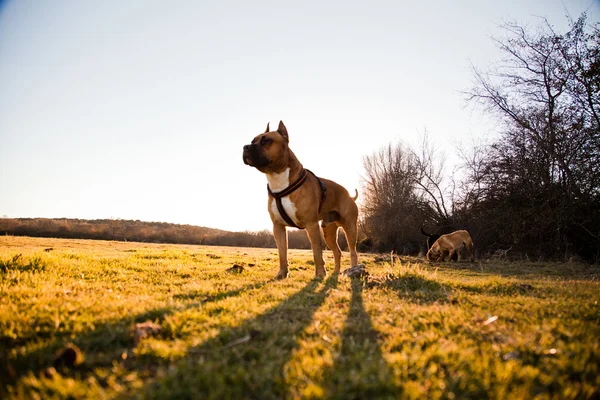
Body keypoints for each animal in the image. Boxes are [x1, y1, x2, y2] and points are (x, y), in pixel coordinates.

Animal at [243, 120, 358, 280]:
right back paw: (335, 273)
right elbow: (282, 253)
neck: (278, 180)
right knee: (338, 252)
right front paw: (282, 274)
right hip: (328, 231)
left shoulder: (311, 225)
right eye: (252, 140)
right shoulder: (278, 227)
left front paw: (320, 274)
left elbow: (317, 252)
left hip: (350, 228)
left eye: (266, 141)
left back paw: (354, 270)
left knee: (353, 251)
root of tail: (349, 195)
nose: (245, 147)